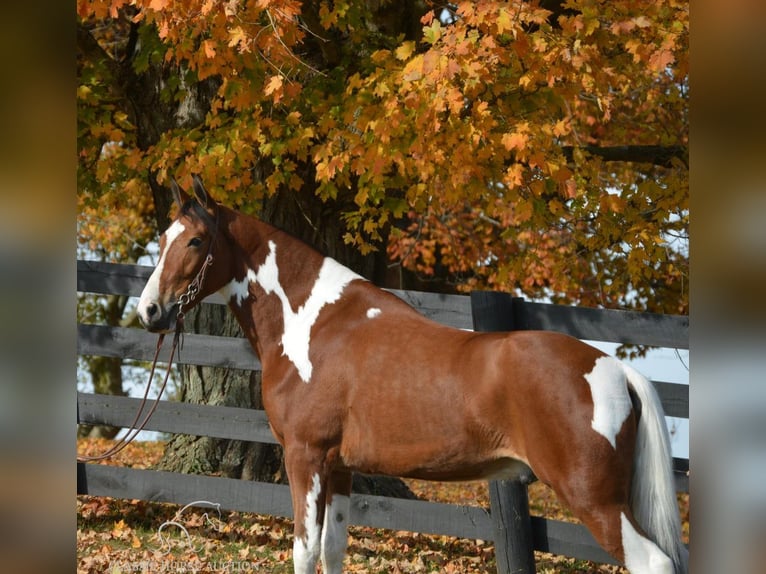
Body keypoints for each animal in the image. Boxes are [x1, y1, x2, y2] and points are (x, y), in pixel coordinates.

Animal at [136, 177, 688, 574]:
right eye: (162, 240)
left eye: (196, 241)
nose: (149, 311)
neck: (315, 324)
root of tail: (614, 368)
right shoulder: (339, 467)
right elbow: (333, 550)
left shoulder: (304, 457)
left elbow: (304, 552)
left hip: (595, 499)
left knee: (652, 563)